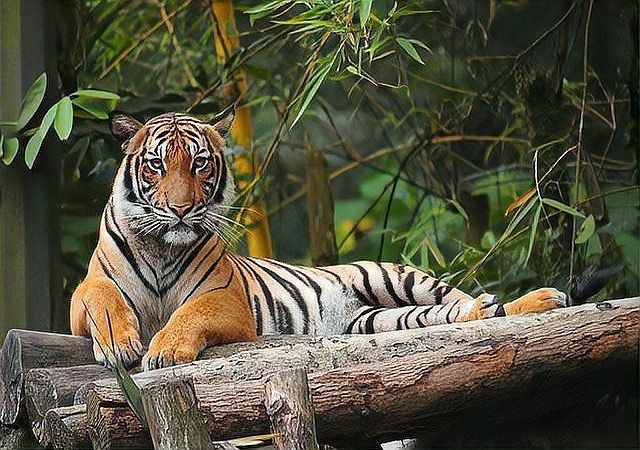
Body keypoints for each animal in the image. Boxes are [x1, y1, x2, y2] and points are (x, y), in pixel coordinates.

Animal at [70, 108, 568, 371]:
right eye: (156, 164)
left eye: (200, 164)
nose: (180, 208)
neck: (161, 246)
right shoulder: (84, 295)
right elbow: (98, 298)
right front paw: (118, 343)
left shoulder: (224, 298)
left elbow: (190, 314)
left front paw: (166, 350)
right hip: (380, 320)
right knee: (448, 316)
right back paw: (502, 305)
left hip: (396, 276)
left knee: (466, 302)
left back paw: (541, 300)